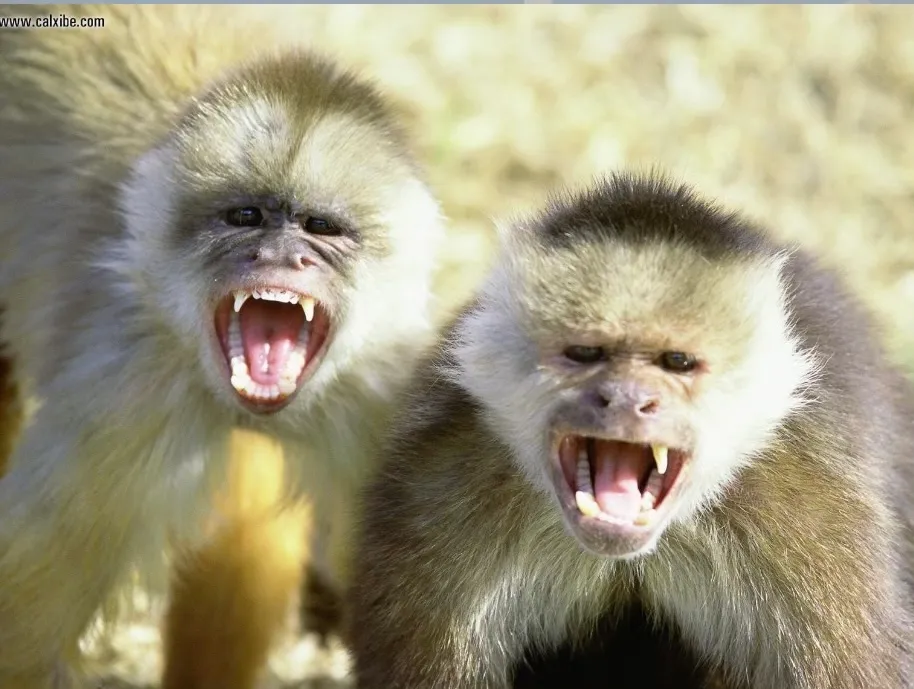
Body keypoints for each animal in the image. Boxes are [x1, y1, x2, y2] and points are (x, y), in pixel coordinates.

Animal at [0, 5, 456, 688]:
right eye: (245, 218)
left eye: (320, 228)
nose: (278, 256)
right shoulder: (124, 399)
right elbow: (22, 642)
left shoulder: (386, 399)